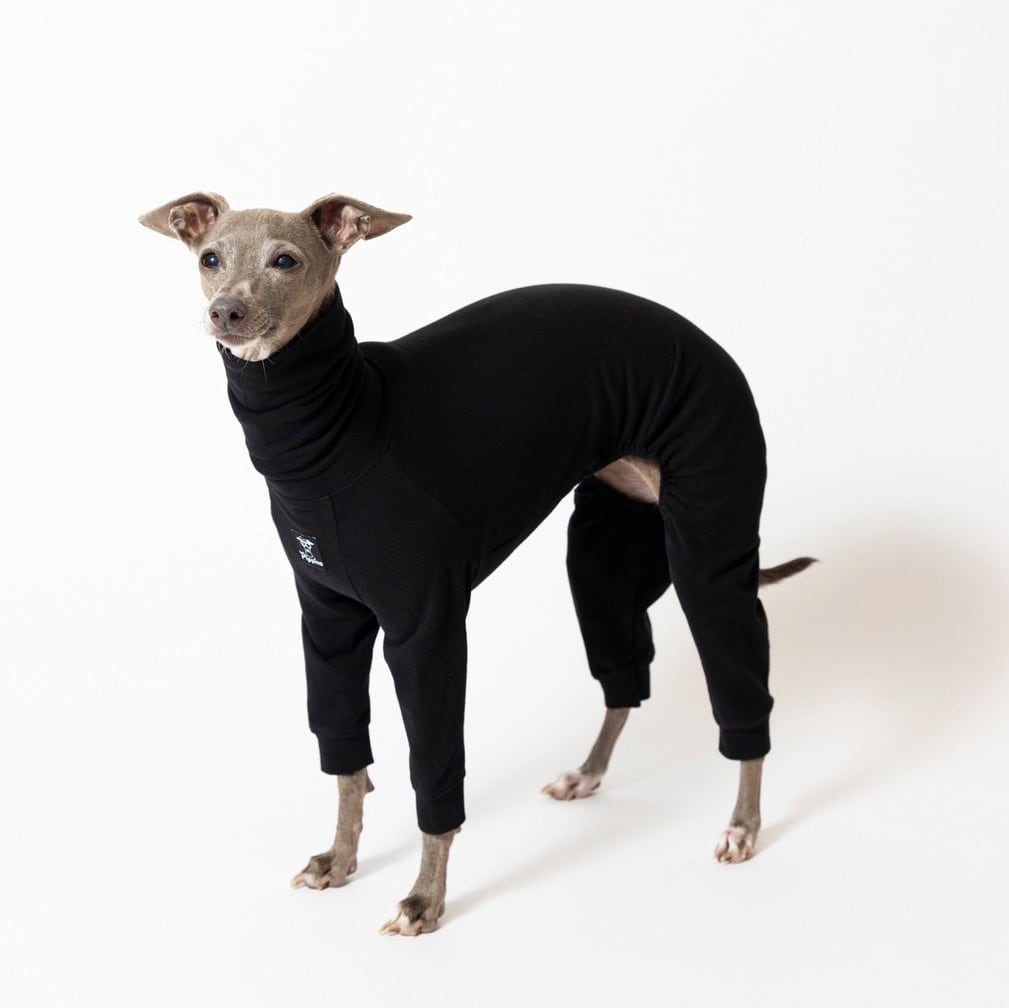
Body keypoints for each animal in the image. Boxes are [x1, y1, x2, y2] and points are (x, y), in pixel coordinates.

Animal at [140, 192, 814, 935]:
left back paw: (743, 824)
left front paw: (424, 899)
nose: (226, 312)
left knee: (742, 692)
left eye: (285, 260)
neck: (338, 429)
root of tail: (700, 336)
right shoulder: (327, 622)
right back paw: (587, 772)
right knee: (623, 678)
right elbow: (344, 758)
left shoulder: (426, 632)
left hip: (707, 548)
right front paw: (339, 860)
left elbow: (433, 772)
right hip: (601, 553)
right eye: (210, 258)